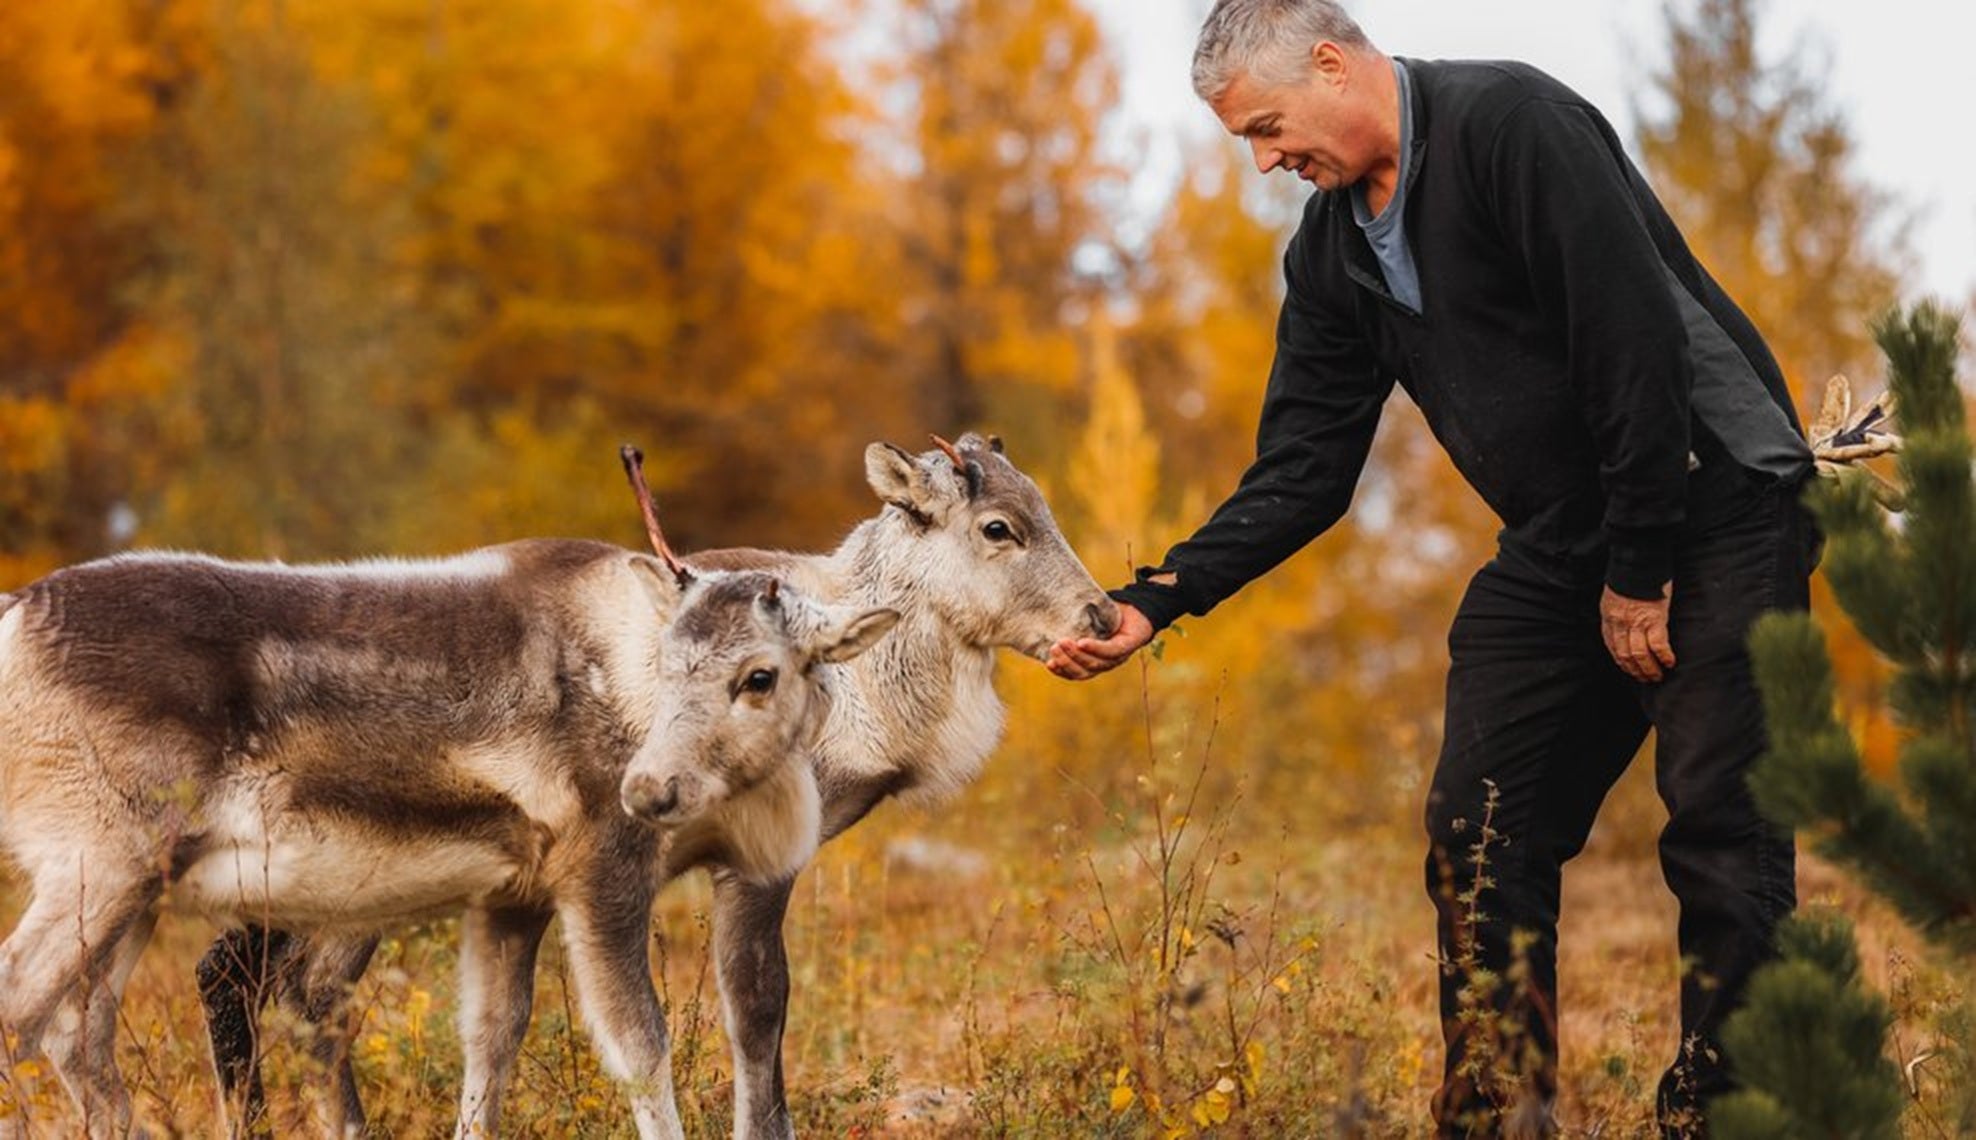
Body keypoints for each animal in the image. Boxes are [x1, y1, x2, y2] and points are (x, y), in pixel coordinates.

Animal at [0, 464, 900, 1140]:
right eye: (669, 659)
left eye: (760, 674)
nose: (649, 789)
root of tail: (13, 620)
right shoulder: (601, 876)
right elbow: (640, 1048)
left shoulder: (512, 898)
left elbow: (489, 1042)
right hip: (100, 860)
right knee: (23, 999)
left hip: (138, 889)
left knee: (80, 1028)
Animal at [197, 432, 1122, 1139]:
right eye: (999, 526)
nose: (1105, 615)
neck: (862, 690)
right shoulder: (748, 865)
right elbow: (756, 1008)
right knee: (283, 982)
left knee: (254, 975)